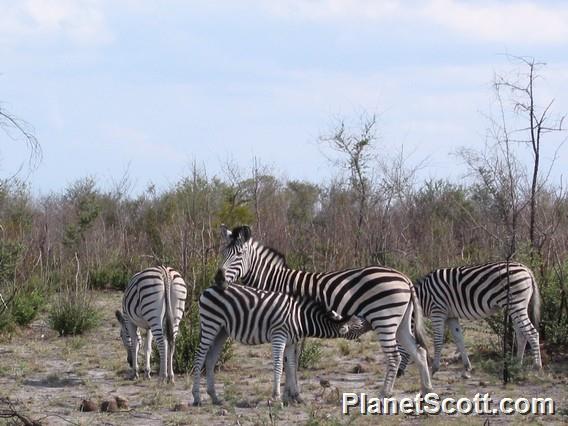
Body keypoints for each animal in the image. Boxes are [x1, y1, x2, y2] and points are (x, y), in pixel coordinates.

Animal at [192, 282, 368, 406]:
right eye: (357, 325)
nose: (368, 321)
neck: (301, 317)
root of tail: (208, 288)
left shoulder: (290, 342)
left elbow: (291, 366)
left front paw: (298, 397)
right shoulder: (279, 336)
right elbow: (279, 365)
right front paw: (276, 397)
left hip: (222, 330)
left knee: (210, 359)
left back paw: (214, 397)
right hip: (211, 323)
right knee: (199, 357)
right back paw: (197, 397)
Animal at [212, 225, 430, 398]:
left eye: (239, 254)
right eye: (223, 253)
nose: (219, 280)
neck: (275, 282)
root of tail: (404, 277)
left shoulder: (286, 321)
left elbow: (289, 359)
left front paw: (291, 393)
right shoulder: (292, 325)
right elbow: (291, 359)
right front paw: (291, 393)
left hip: (384, 318)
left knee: (395, 357)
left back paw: (384, 393)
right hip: (400, 323)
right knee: (418, 351)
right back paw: (425, 391)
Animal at [398, 262, 544, 378]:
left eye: (400, 346)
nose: (398, 373)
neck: (423, 297)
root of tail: (527, 269)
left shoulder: (438, 311)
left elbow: (438, 341)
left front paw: (434, 368)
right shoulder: (451, 316)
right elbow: (459, 339)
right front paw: (467, 367)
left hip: (516, 304)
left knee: (532, 332)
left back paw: (537, 367)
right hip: (516, 307)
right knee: (521, 335)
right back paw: (517, 365)